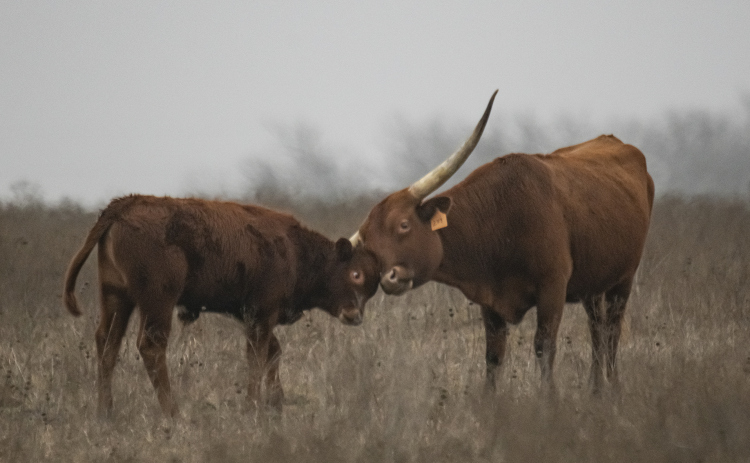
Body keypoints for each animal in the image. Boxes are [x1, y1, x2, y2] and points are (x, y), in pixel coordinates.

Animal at [63, 194, 379, 417]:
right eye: (355, 274)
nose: (355, 315)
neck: (293, 249)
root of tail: (122, 206)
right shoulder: (261, 314)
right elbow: (257, 357)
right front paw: (253, 407)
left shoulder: (252, 317)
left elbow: (273, 352)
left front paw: (276, 404)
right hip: (158, 302)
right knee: (151, 346)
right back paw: (173, 413)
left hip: (117, 298)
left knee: (107, 343)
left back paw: (105, 413)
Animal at [351, 91, 654, 393]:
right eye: (368, 243)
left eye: (403, 225)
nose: (389, 278)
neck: (499, 219)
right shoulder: (490, 300)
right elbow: (493, 356)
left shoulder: (553, 288)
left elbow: (544, 347)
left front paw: (549, 399)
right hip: (592, 284)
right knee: (596, 329)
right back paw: (596, 388)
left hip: (623, 280)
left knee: (612, 331)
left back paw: (612, 387)